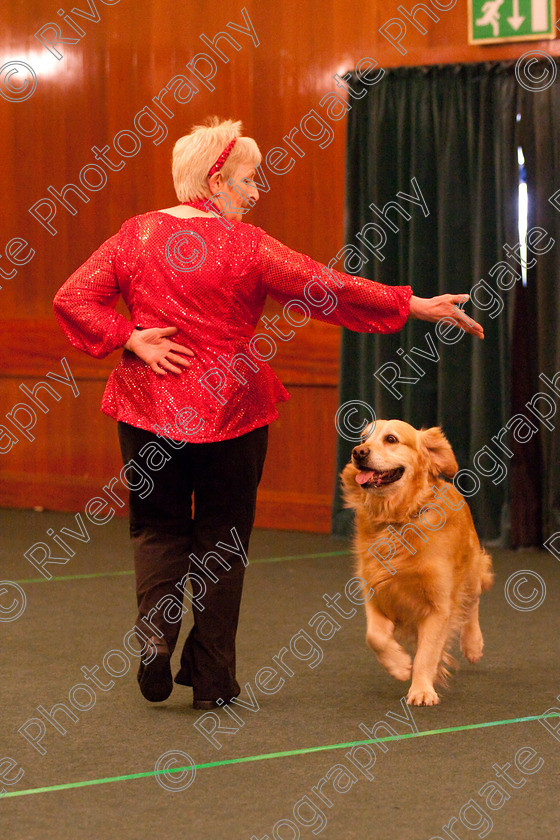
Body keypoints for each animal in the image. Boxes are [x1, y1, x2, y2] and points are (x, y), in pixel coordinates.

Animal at [342, 418, 494, 704]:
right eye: (363, 438)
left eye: (391, 439)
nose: (358, 452)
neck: (398, 519)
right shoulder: (375, 591)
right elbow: (374, 637)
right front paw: (400, 665)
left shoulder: (439, 604)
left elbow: (427, 653)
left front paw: (422, 689)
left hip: (470, 570)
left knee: (472, 602)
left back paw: (473, 644)